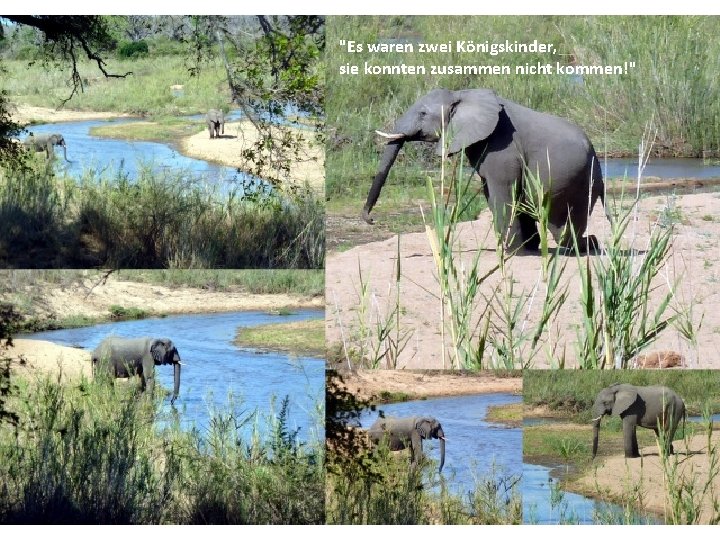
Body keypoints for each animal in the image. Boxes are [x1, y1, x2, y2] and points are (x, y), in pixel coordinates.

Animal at [362, 87, 612, 252]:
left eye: (423, 114)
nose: (371, 220)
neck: (462, 95)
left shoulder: (502, 147)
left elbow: (503, 192)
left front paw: (511, 252)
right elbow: (493, 193)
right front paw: (521, 249)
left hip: (573, 182)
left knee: (562, 224)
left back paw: (577, 248)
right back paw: (589, 244)